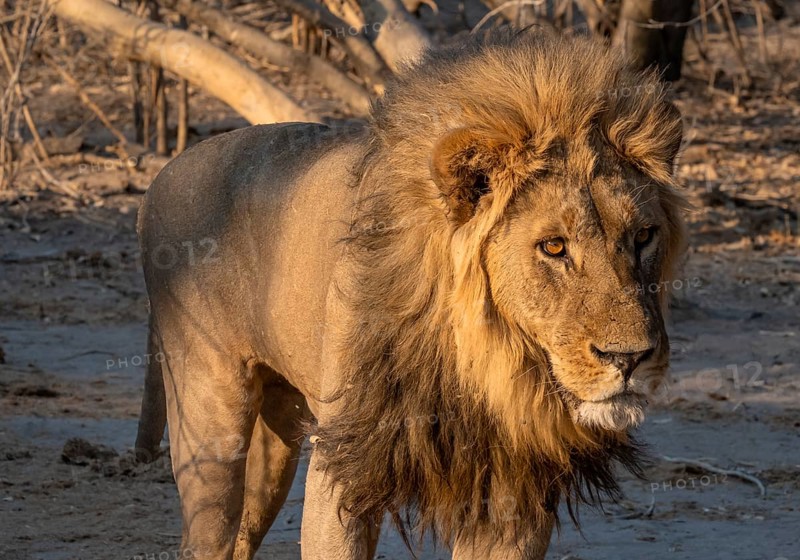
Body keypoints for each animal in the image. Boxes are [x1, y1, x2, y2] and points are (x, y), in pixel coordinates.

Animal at [134, 30, 686, 560]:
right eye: (554, 246)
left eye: (643, 236)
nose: (630, 358)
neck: (482, 358)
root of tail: (162, 173)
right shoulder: (346, 464)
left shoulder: (515, 488)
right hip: (209, 425)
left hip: (277, 436)